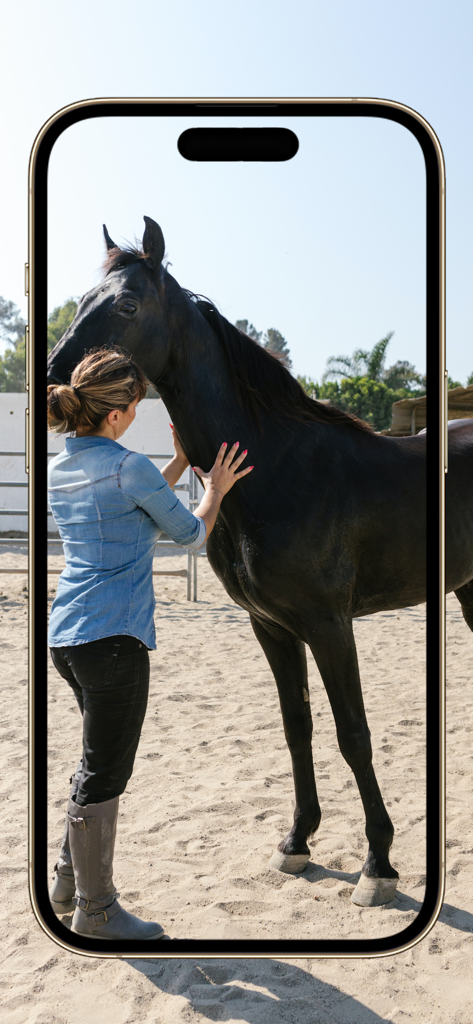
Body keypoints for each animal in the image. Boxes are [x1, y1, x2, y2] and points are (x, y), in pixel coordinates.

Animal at [47, 216, 473, 908]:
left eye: (128, 305)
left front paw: (378, 864)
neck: (275, 467)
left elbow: (353, 733)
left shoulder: (330, 625)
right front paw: (297, 842)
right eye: (84, 299)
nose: (56, 385)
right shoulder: (271, 626)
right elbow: (297, 726)